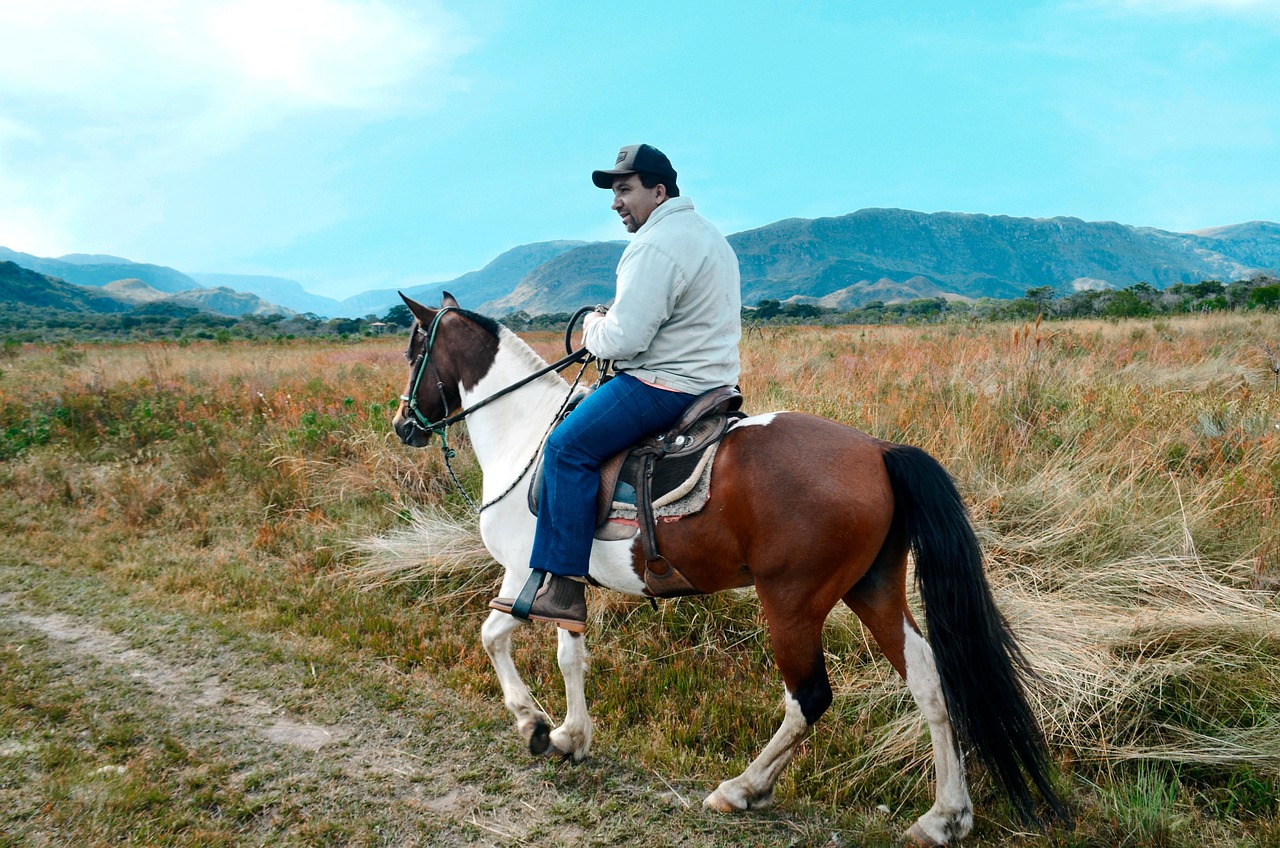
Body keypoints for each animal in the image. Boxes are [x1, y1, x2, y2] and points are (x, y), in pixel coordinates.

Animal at [391, 294, 1070, 845]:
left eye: (413, 351)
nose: (402, 424)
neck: (528, 434)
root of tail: (879, 451)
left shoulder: (521, 572)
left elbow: (493, 636)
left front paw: (533, 722)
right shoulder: (563, 581)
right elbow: (569, 655)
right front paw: (570, 737)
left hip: (793, 602)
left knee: (809, 698)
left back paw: (743, 789)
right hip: (873, 588)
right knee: (930, 682)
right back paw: (945, 817)